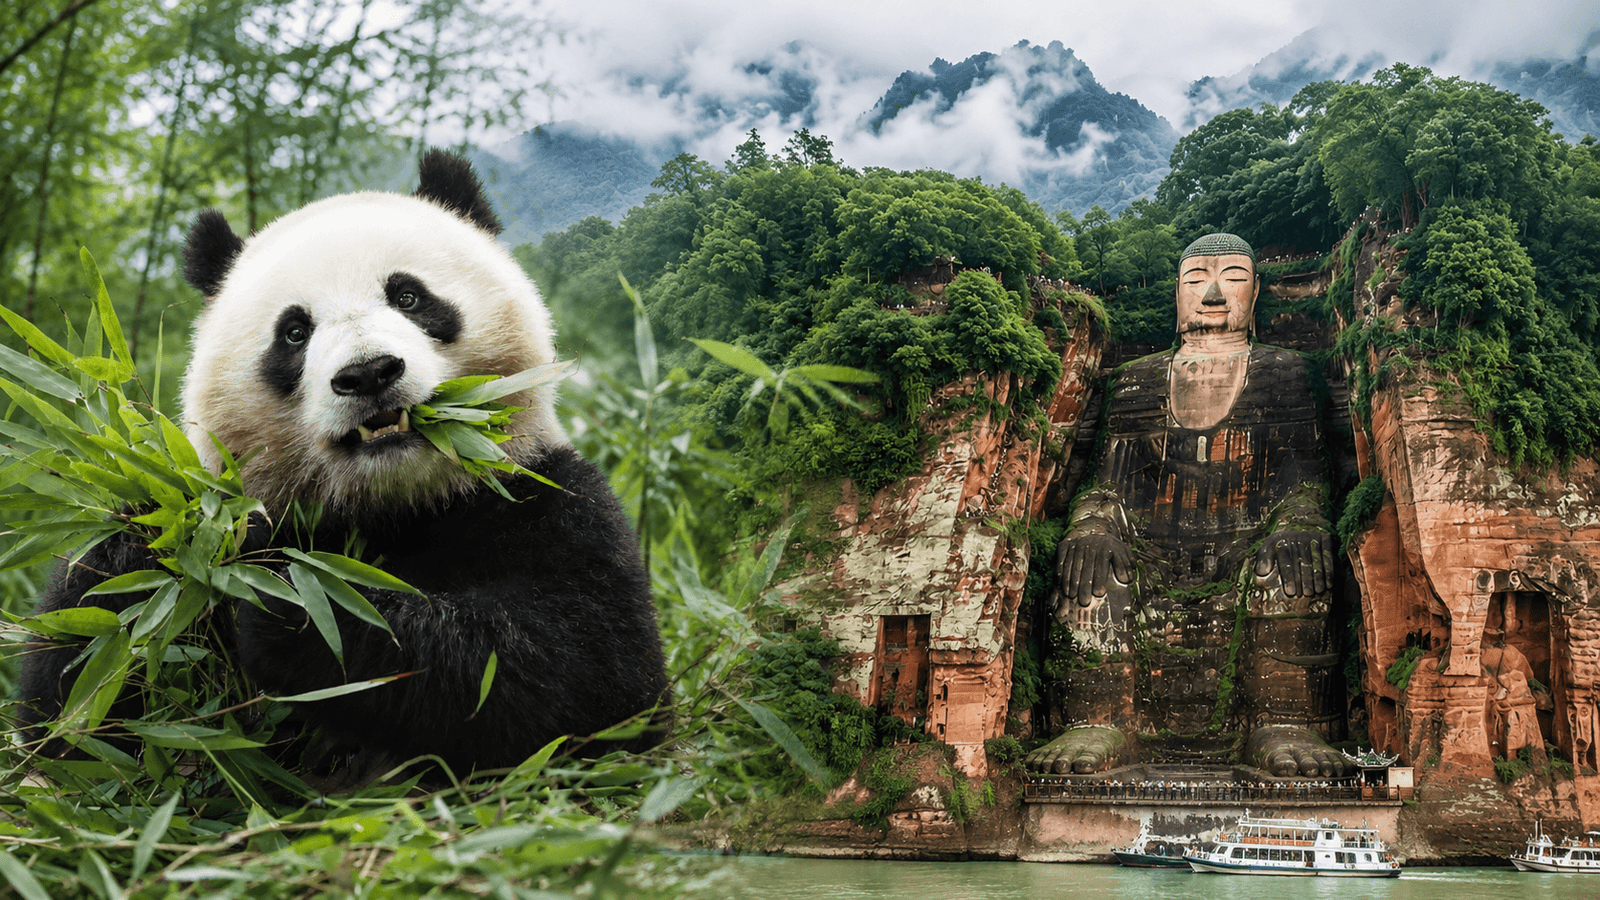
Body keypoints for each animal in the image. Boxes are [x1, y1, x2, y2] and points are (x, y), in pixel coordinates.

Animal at [18, 150, 669, 776]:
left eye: (408, 296)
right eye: (294, 331)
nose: (369, 373)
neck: (393, 504)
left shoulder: (544, 496)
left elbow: (584, 674)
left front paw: (296, 604)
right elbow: (77, 708)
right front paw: (149, 552)